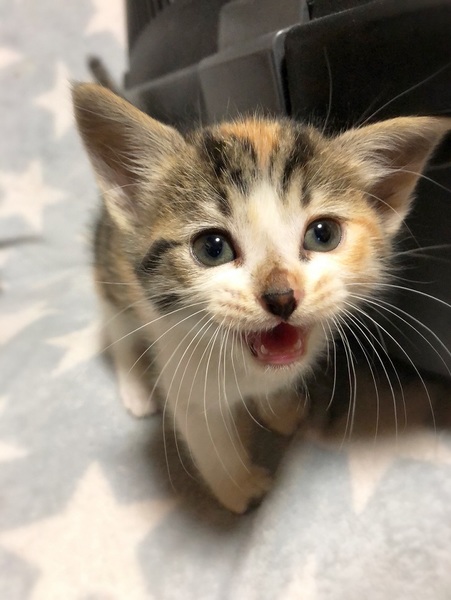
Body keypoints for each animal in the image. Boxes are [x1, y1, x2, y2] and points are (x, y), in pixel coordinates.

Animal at [72, 82, 450, 513]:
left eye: (323, 234)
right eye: (212, 247)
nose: (282, 296)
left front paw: (280, 409)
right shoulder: (185, 377)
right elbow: (208, 437)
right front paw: (238, 487)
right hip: (111, 274)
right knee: (118, 330)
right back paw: (135, 388)